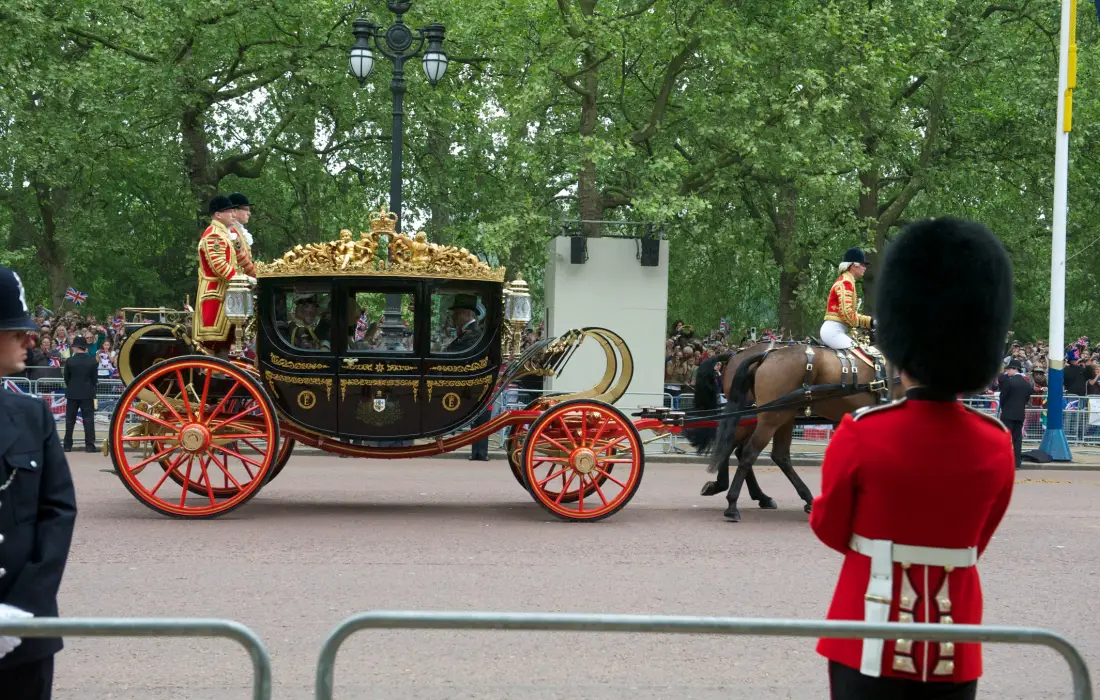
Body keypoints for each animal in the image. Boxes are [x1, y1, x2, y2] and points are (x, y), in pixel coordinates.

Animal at [690, 338, 897, 519]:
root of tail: (765, 355)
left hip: (780, 415)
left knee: (762, 451)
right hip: (770, 416)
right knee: (747, 451)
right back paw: (733, 504)